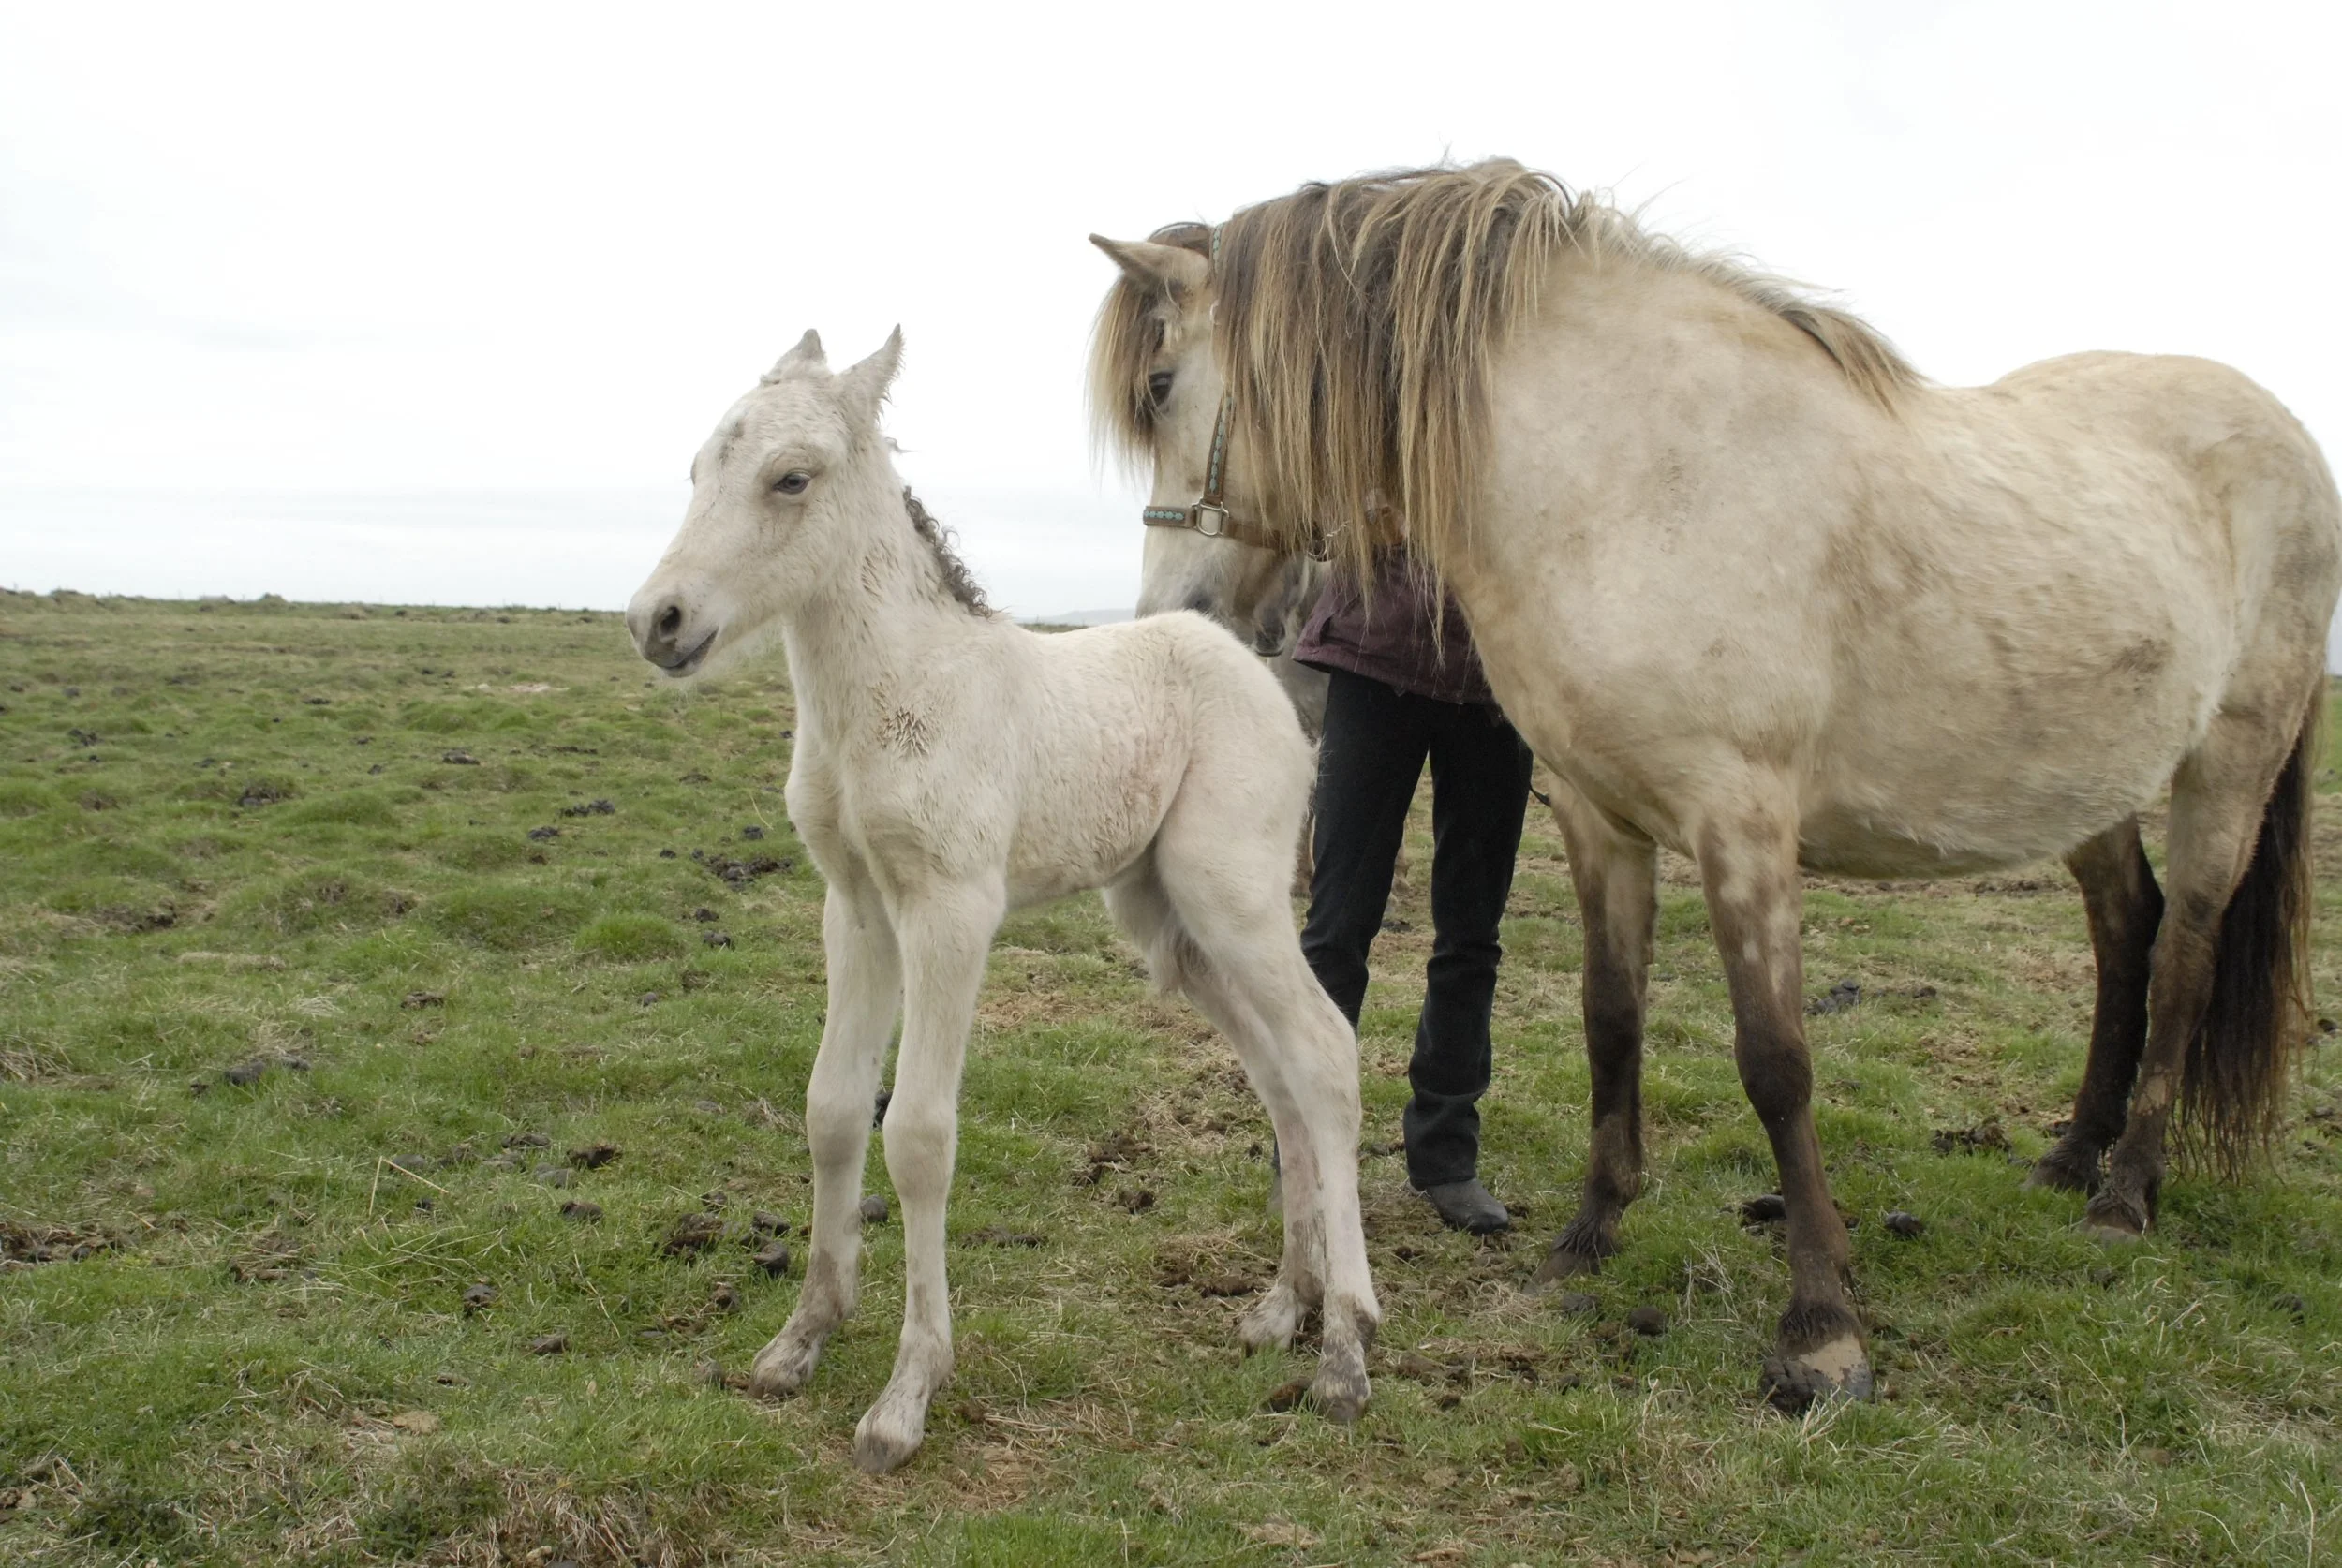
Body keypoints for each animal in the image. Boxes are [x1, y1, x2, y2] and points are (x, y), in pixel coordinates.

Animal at [624, 329, 1378, 1472]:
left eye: (792, 478)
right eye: (700, 468)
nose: (658, 621)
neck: (891, 696)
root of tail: (1259, 670)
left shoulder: (950, 909)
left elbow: (918, 1135)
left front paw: (906, 1394)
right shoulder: (855, 908)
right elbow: (832, 1111)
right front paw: (800, 1339)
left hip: (1231, 891)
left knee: (1327, 1053)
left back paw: (1344, 1347)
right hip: (1168, 921)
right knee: (1280, 1075)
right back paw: (1280, 1308)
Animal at [1089, 161, 2340, 1411]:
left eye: (1161, 384)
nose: (1176, 619)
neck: (1636, 472)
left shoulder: (1742, 824)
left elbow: (1775, 1063)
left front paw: (1821, 1327)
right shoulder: (1597, 817)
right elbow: (1611, 1021)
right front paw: (1585, 1242)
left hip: (2227, 763)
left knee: (2180, 956)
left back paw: (2123, 1196)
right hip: (2079, 785)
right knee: (2124, 932)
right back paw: (2069, 1157)